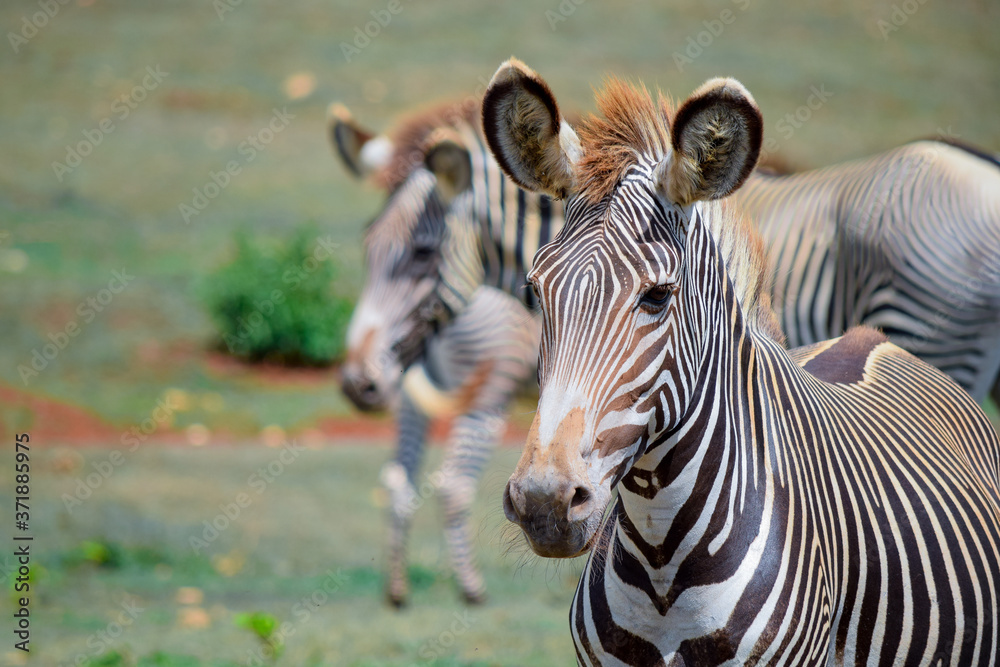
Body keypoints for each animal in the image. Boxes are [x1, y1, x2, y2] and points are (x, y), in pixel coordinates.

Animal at [331, 104, 539, 606]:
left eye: (423, 252)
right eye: (367, 248)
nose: (355, 382)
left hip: (409, 386)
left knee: (398, 479)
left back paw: (398, 588)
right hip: (488, 386)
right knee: (452, 484)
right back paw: (471, 588)